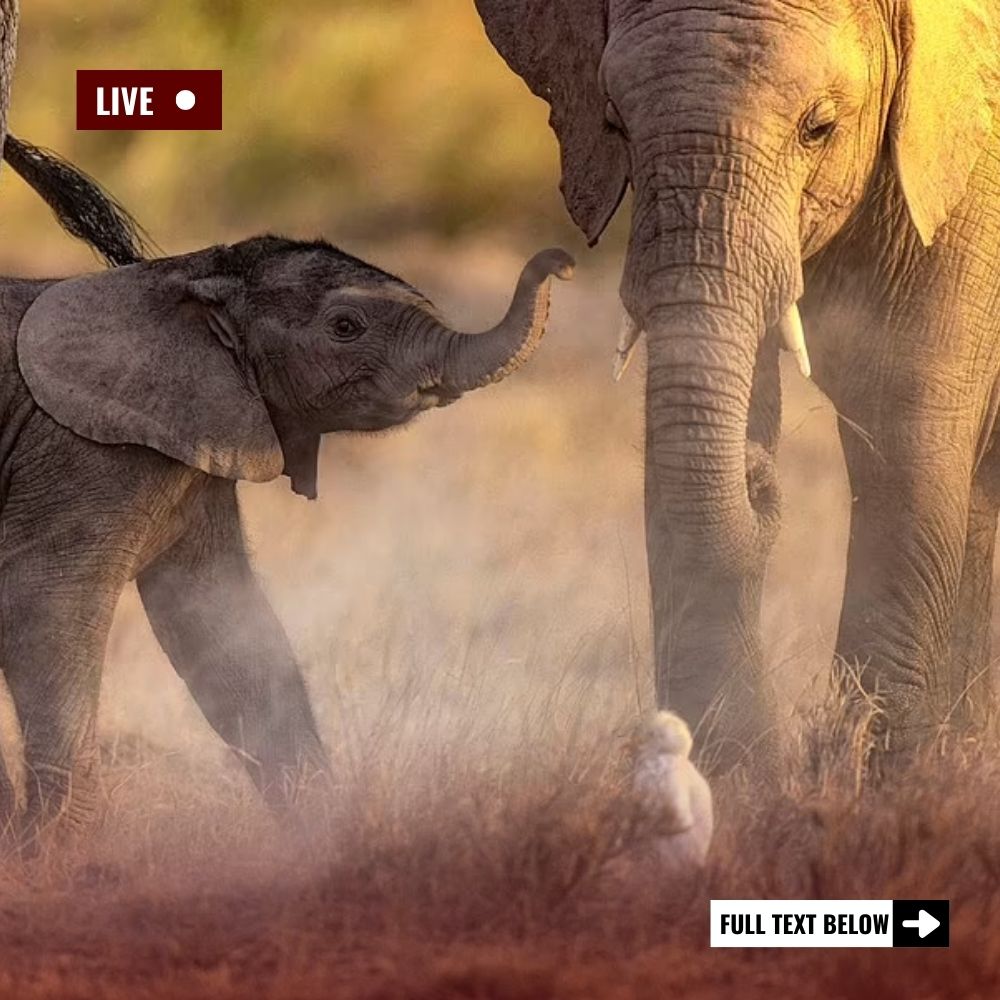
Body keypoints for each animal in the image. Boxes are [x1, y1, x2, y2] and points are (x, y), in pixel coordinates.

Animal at [0, 238, 572, 840]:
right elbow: (46, 606)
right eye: (346, 327)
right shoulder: (84, 448)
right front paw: (51, 849)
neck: (191, 277)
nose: (561, 260)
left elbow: (220, 622)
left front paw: (324, 836)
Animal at [474, 0, 1000, 764]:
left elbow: (906, 418)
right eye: (615, 124)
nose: (757, 476)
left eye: (819, 126)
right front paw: (739, 778)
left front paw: (884, 776)